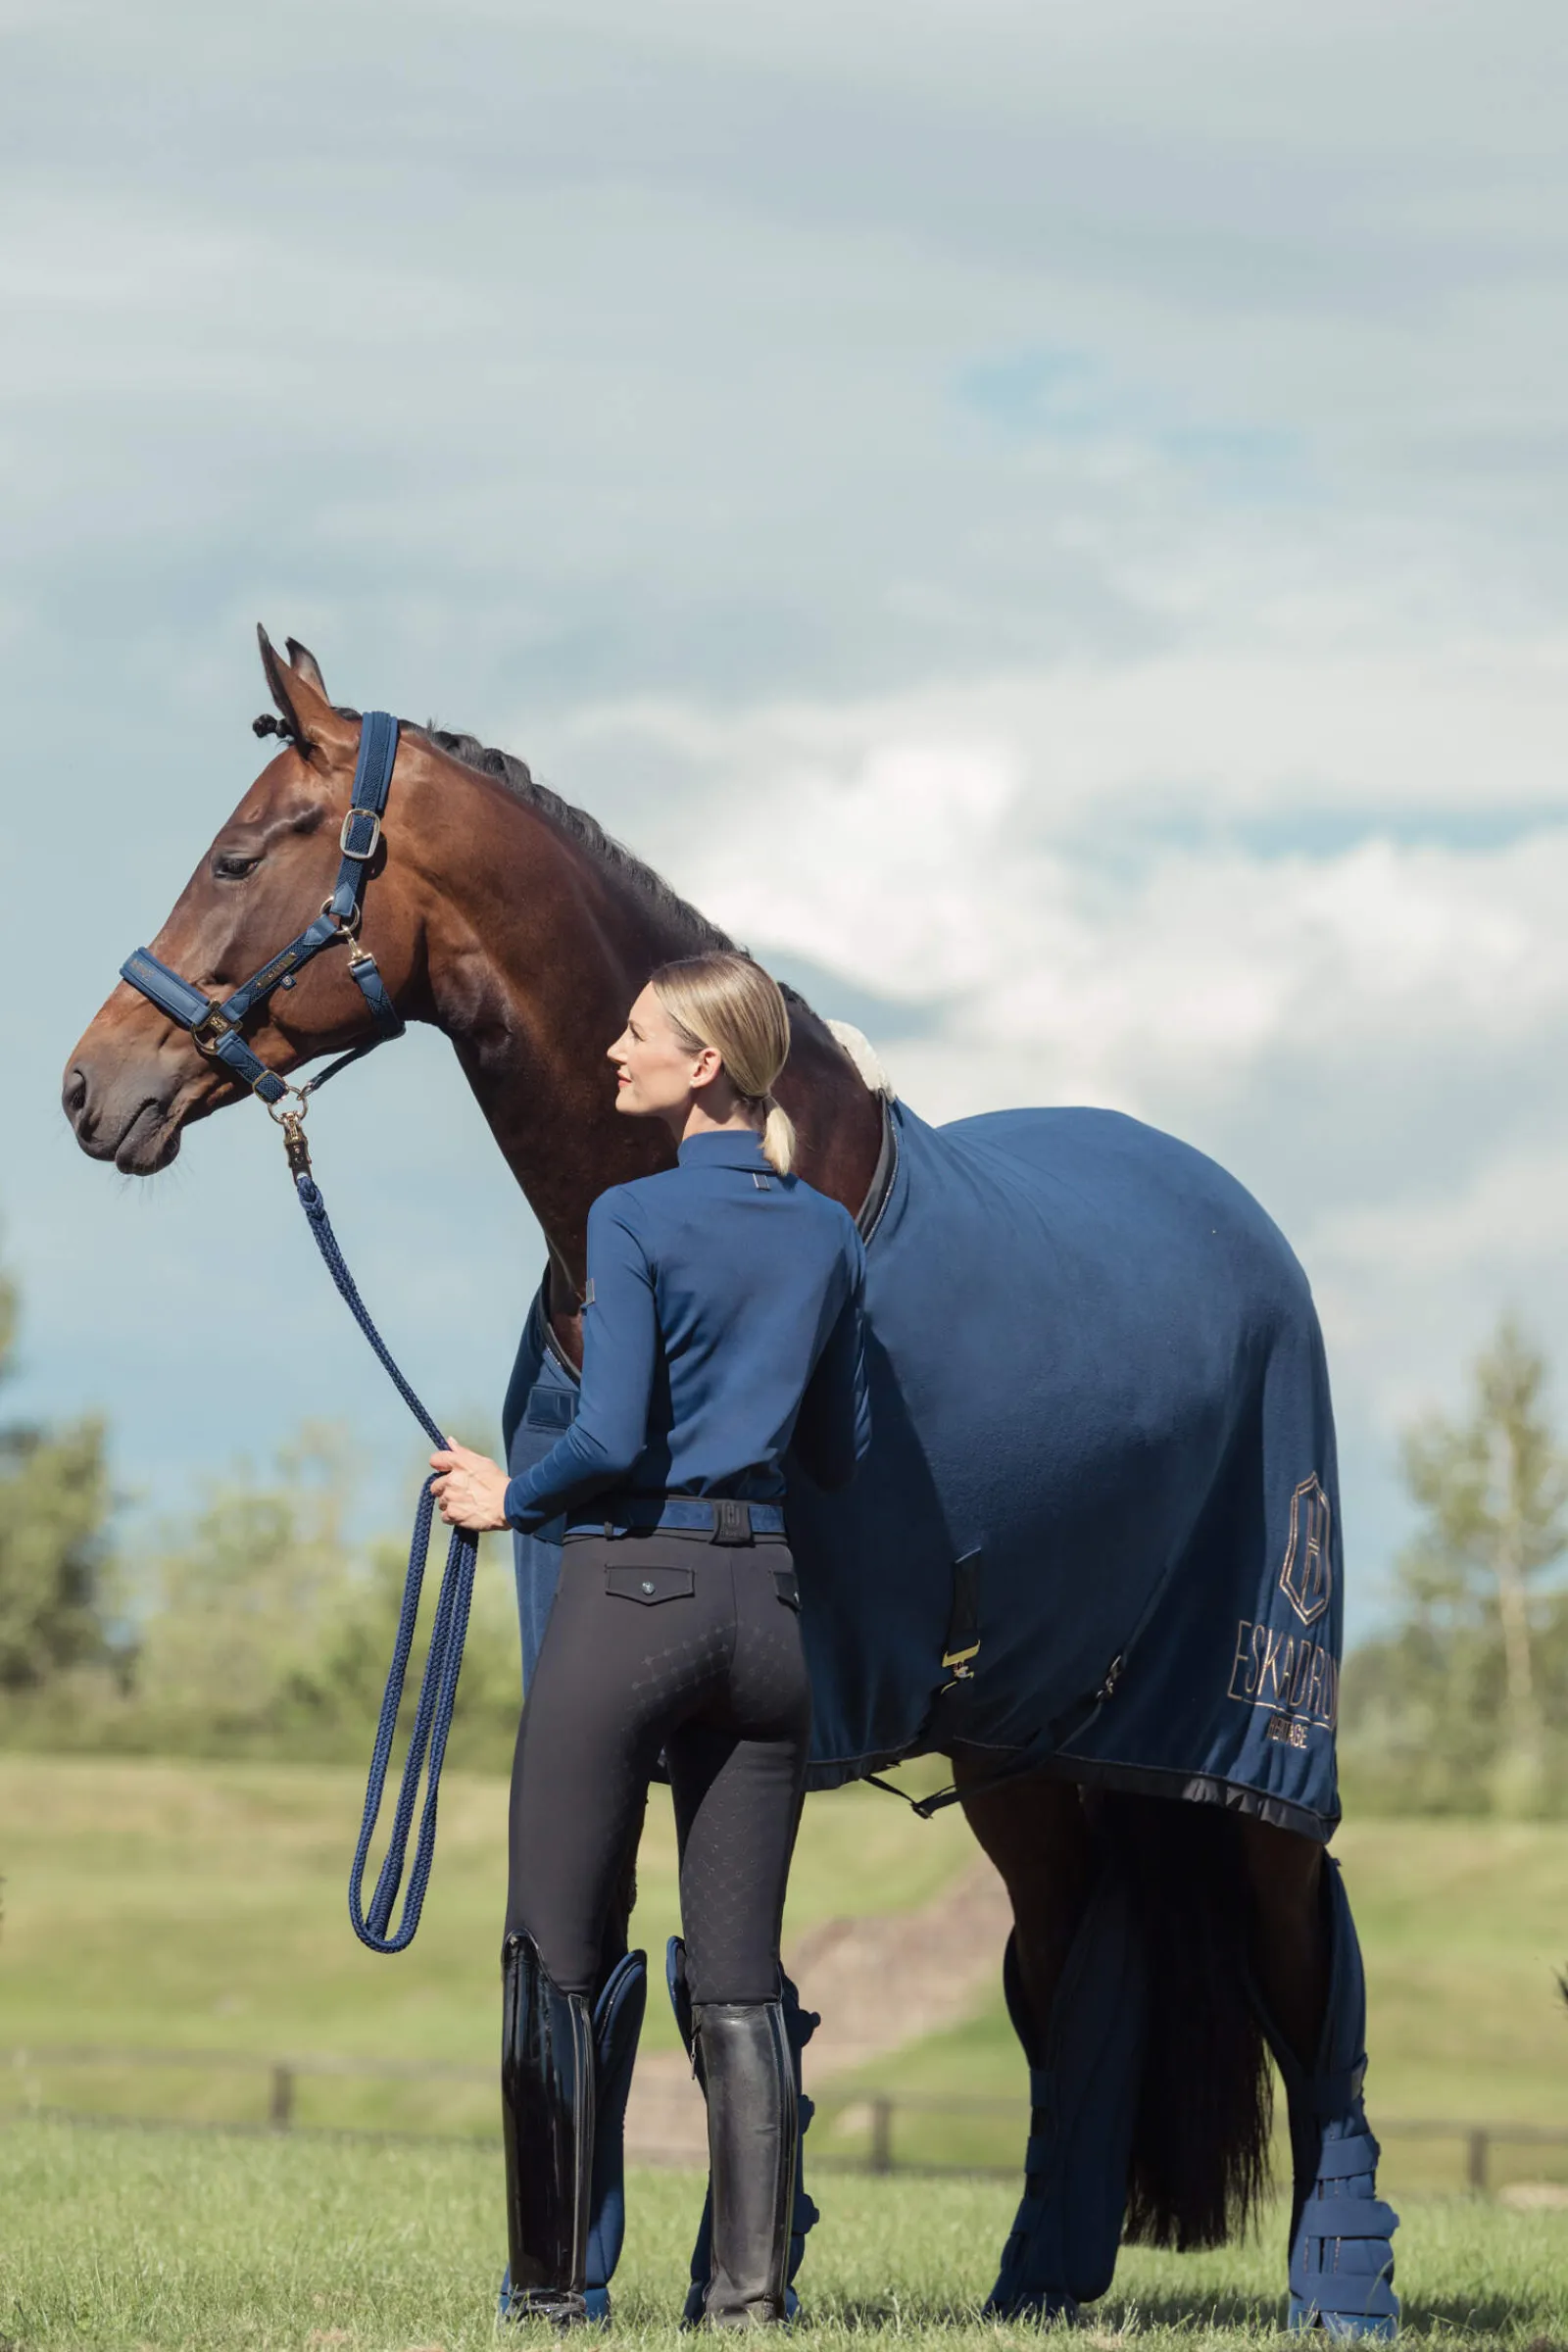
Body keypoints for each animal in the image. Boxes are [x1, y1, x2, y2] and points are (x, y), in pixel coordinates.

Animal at [64, 631, 1399, 2336]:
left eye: (239, 855)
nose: (88, 1088)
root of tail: (1252, 1236)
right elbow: (625, 1972)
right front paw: (599, 2276)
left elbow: (734, 1980)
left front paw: (722, 2275)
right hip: (1030, 1752)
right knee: (1063, 1970)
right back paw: (1037, 2278)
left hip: (1255, 1738)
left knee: (1311, 1976)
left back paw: (1340, 2285)